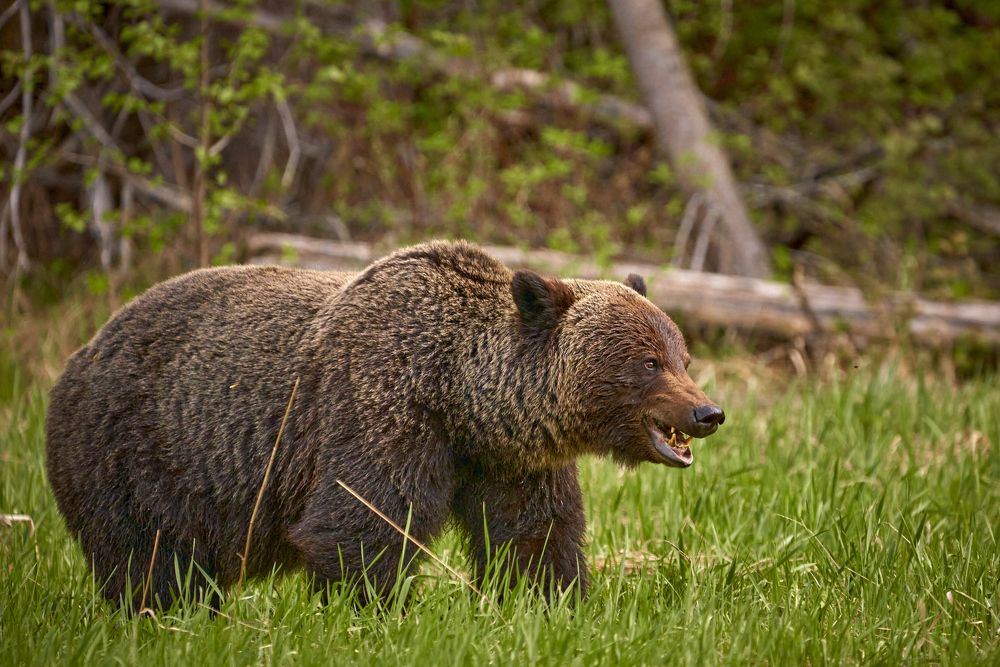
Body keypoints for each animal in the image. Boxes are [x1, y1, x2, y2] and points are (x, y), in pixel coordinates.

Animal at [45, 241, 724, 609]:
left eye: (682, 356)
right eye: (648, 361)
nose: (707, 412)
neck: (458, 393)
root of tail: (79, 354)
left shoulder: (506, 458)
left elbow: (534, 534)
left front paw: (550, 600)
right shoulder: (380, 403)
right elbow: (364, 519)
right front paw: (371, 609)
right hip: (138, 455)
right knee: (151, 561)